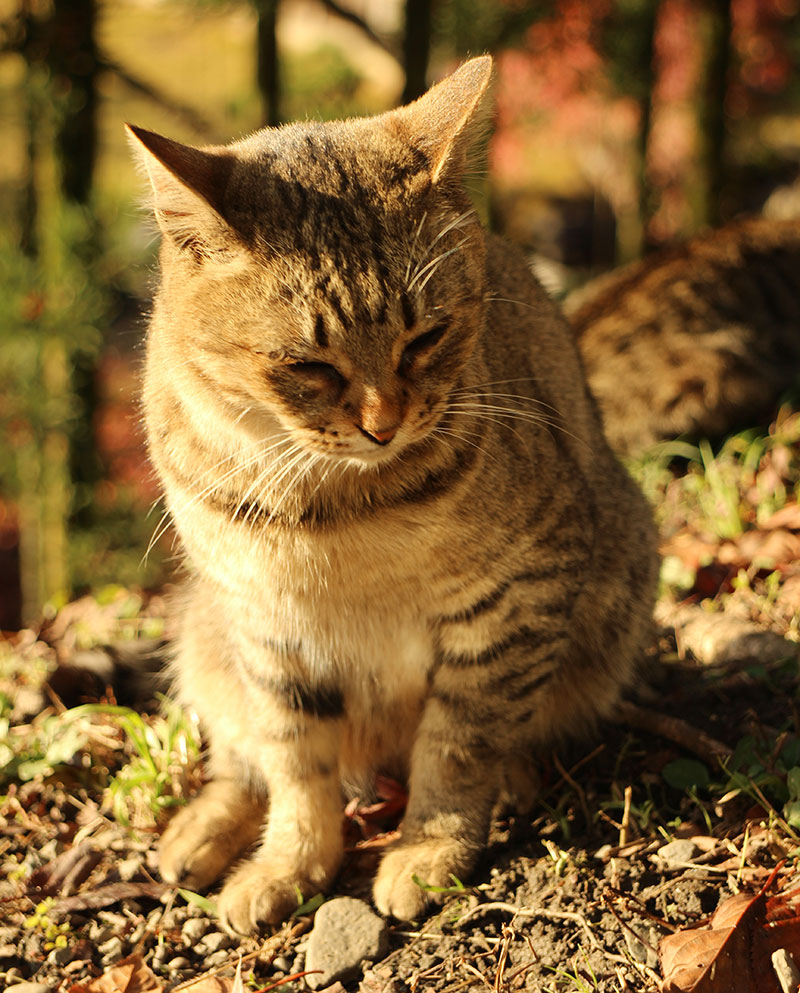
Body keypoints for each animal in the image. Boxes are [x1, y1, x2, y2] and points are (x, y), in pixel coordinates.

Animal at [128, 58, 660, 932]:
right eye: (308, 366)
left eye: (426, 337)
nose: (384, 424)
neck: (336, 509)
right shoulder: (268, 627)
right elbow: (294, 761)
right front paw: (290, 864)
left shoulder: (515, 597)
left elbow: (458, 743)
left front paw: (428, 851)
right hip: (204, 631)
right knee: (241, 758)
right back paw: (200, 835)